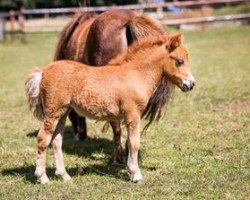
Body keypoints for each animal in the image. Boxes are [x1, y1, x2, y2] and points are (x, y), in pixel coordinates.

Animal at [25, 33, 195, 184]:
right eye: (180, 61)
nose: (191, 84)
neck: (134, 75)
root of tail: (44, 71)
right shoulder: (133, 115)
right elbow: (134, 143)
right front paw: (136, 174)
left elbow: (129, 142)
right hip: (53, 112)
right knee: (43, 138)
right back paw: (42, 178)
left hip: (63, 112)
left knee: (56, 141)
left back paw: (64, 175)